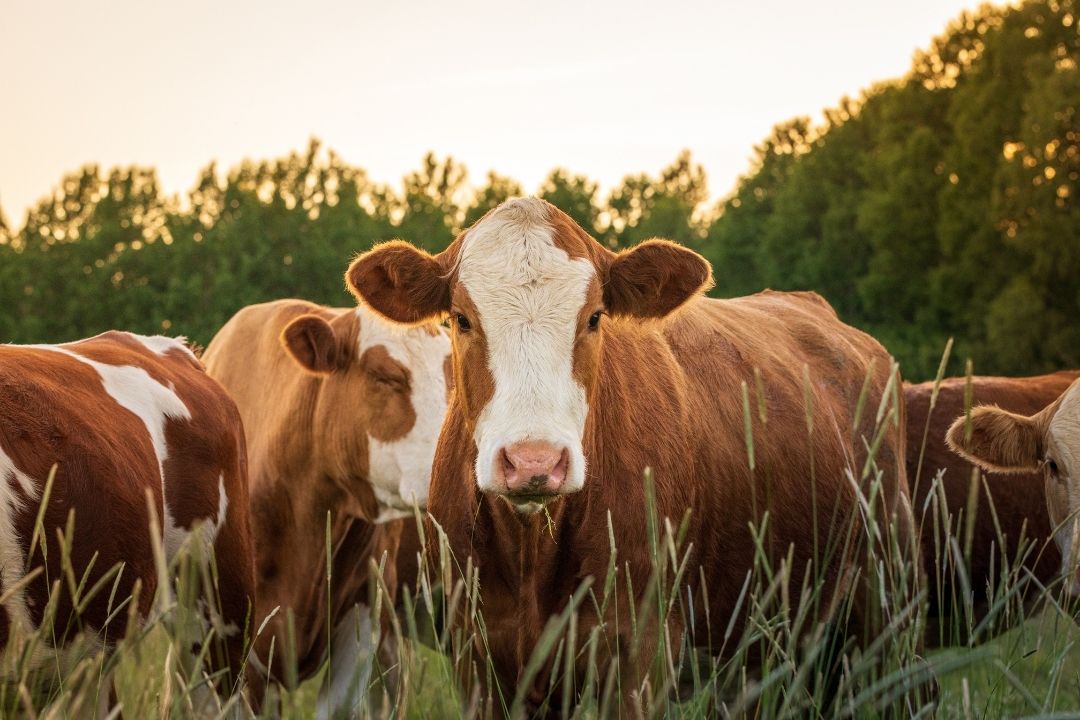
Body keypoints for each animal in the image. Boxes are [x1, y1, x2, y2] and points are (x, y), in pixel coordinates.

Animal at [345, 195, 920, 716]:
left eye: (595, 317)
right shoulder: (476, 658)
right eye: (462, 319)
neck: (532, 551)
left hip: (882, 600)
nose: (534, 462)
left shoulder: (639, 654)